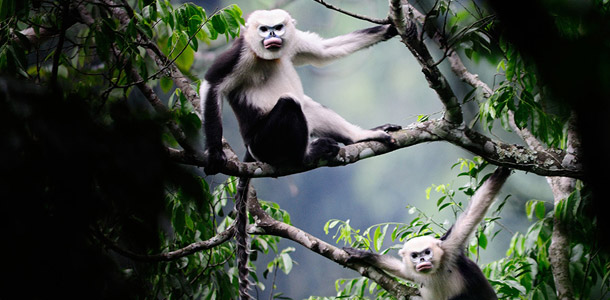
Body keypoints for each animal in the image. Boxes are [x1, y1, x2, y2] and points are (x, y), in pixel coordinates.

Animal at [200, 8, 400, 298]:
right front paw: (215, 152)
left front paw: (391, 28)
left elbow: (322, 52)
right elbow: (212, 84)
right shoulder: (241, 53)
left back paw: (358, 137)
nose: (272, 35)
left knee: (306, 105)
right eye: (264, 29)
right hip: (264, 143)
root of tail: (249, 149)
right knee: (291, 103)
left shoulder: (291, 43)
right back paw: (305, 155)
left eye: (278, 27)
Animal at [342, 168, 508, 298]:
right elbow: (401, 270)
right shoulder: (412, 271)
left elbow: (475, 210)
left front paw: (502, 170)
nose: (422, 260)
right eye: (415, 256)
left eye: (427, 252)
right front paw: (363, 255)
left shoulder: (450, 246)